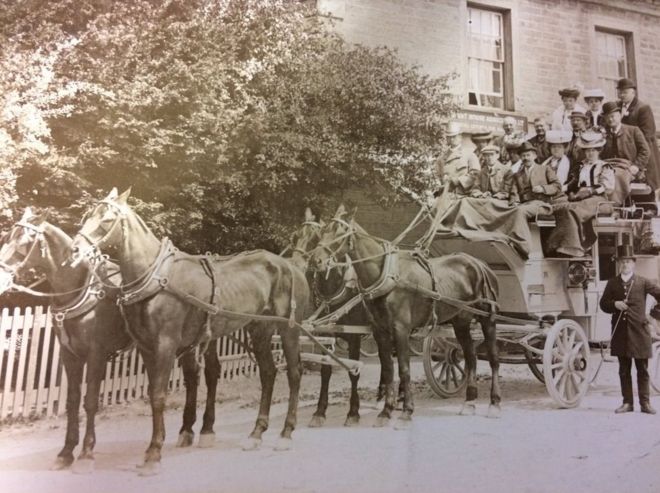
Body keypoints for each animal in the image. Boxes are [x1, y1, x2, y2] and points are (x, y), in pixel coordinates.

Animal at [71, 188, 308, 472]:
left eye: (106, 220)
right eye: (86, 216)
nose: (75, 250)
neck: (156, 276)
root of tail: (290, 266)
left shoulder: (166, 343)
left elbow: (159, 395)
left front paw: (154, 453)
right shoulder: (147, 347)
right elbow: (154, 393)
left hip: (288, 329)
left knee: (294, 373)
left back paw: (286, 432)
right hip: (259, 328)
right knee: (268, 373)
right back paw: (256, 433)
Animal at [310, 204, 500, 426]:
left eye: (339, 233)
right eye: (322, 233)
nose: (316, 260)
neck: (386, 275)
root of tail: (481, 265)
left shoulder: (398, 330)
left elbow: (403, 369)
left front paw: (405, 411)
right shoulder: (380, 331)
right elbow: (387, 369)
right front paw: (386, 411)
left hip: (488, 320)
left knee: (493, 358)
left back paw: (494, 403)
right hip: (460, 322)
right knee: (470, 357)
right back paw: (469, 402)